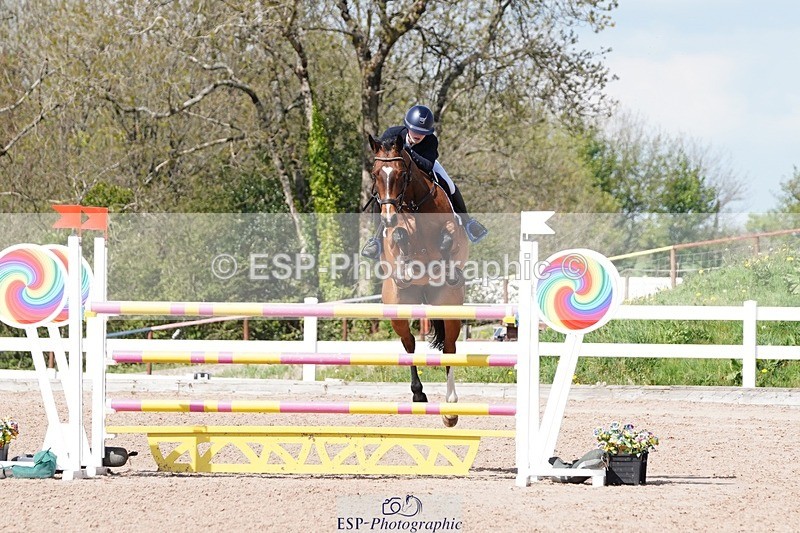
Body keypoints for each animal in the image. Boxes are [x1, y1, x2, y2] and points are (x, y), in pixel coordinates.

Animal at [366, 133, 470, 427]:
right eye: (376, 174)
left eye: (403, 174)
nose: (388, 217)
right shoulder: (396, 234)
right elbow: (400, 237)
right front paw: (403, 264)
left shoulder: (450, 229)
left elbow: (446, 239)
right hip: (398, 308)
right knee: (409, 344)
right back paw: (418, 394)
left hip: (448, 307)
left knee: (449, 348)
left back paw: (451, 408)